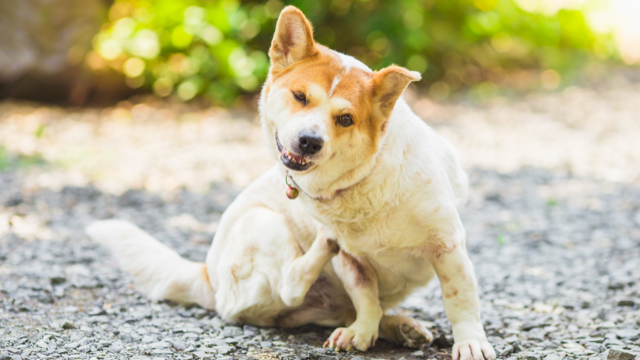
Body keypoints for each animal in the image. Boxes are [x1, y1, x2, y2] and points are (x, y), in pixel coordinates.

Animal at [86, 6, 496, 360]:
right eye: (300, 96)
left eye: (345, 119)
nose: (309, 141)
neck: (365, 178)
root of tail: (208, 277)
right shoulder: (352, 262)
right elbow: (365, 296)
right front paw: (363, 331)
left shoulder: (447, 246)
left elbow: (459, 298)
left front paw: (469, 342)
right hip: (264, 223)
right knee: (291, 284)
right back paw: (333, 261)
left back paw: (399, 327)